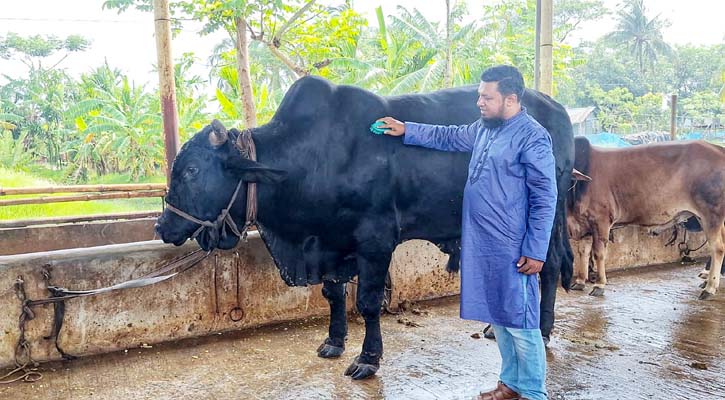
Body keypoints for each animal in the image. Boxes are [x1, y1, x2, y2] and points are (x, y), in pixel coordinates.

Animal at [156, 76, 576, 380]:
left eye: (191, 170)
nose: (163, 225)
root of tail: (557, 107)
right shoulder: (329, 245)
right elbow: (333, 294)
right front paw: (333, 341)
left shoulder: (375, 242)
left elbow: (368, 302)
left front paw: (367, 358)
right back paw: (496, 327)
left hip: (547, 214)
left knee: (548, 266)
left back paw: (542, 329)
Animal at [564, 137, 724, 296]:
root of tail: (718, 149)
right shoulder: (583, 224)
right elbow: (583, 253)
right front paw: (580, 281)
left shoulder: (601, 220)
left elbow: (598, 253)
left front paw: (599, 284)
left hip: (711, 214)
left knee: (718, 248)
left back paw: (709, 287)